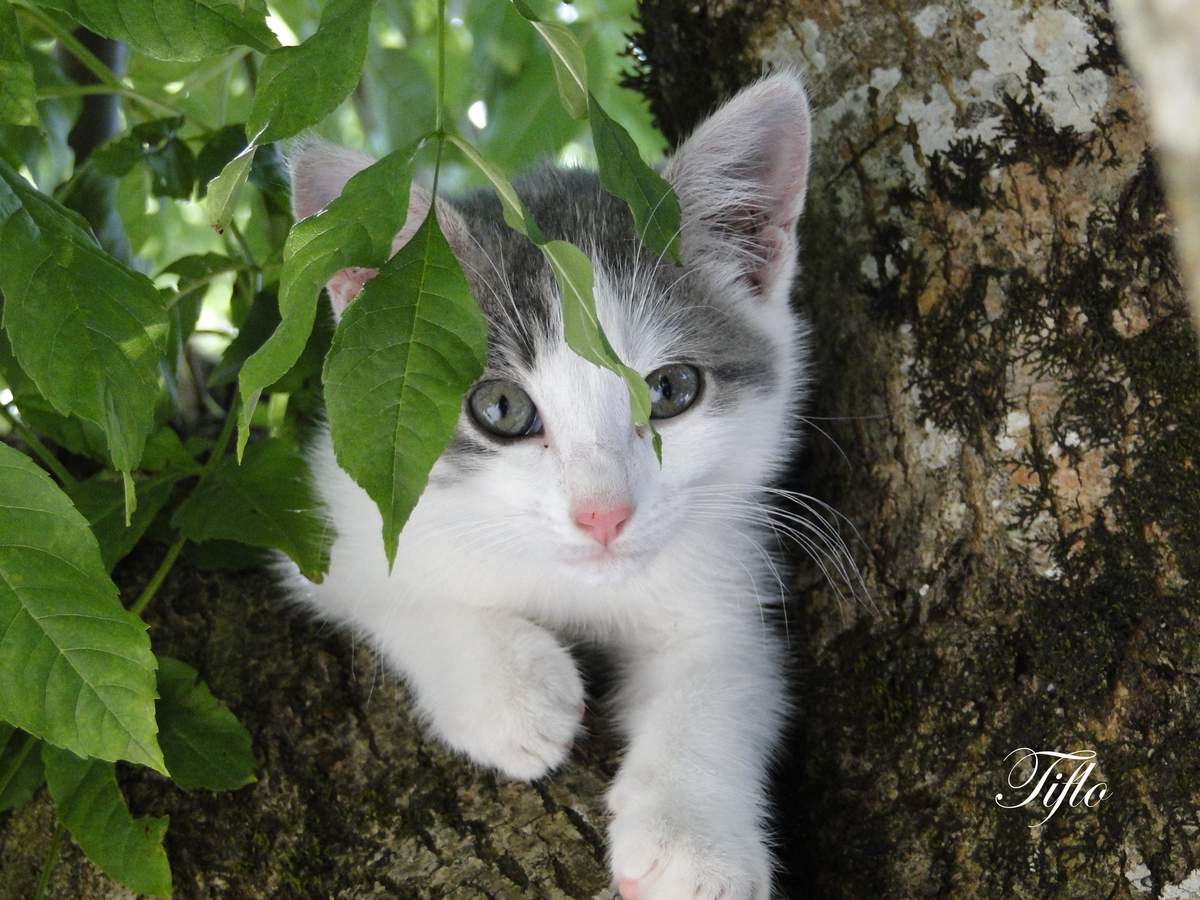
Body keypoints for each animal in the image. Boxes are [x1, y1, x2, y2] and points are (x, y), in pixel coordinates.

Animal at [283, 72, 812, 900]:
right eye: (503, 408)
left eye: (670, 390)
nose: (604, 514)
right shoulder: (340, 508)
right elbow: (389, 586)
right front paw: (514, 690)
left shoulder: (728, 565)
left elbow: (725, 670)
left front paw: (692, 841)